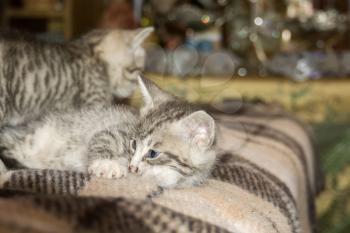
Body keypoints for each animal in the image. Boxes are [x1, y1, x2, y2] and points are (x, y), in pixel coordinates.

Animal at [0, 75, 217, 188]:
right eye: (133, 144)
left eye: (153, 153)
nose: (132, 167)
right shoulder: (114, 130)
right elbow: (101, 138)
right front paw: (107, 164)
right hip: (32, 136)